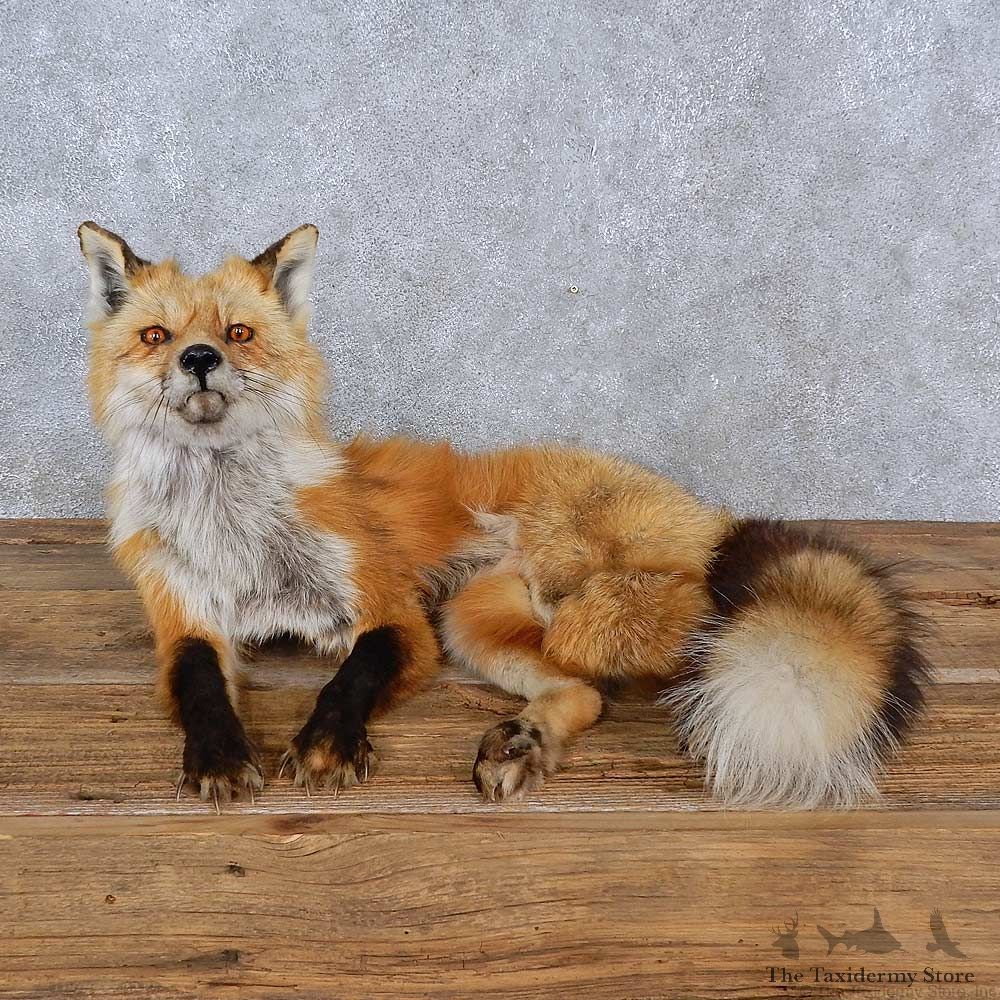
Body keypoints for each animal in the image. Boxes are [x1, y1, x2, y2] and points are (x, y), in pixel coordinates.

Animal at [77, 221, 930, 809]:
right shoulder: (183, 614)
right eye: (157, 336)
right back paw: (524, 742)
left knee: (680, 625)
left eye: (237, 333)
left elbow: (354, 672)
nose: (198, 359)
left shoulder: (389, 606)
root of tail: (713, 516)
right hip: (475, 623)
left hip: (571, 601)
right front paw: (219, 756)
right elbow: (196, 682)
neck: (237, 523)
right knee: (584, 694)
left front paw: (328, 743)